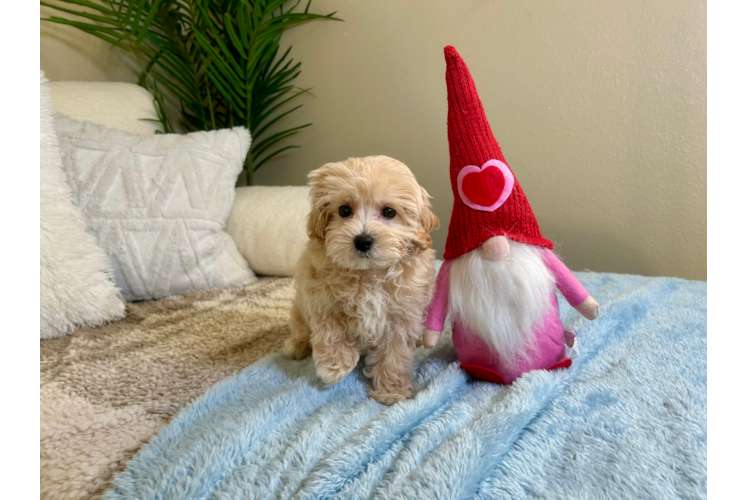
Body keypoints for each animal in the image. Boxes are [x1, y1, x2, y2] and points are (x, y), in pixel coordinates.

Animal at [284, 154, 438, 404]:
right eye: (344, 210)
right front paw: (334, 366)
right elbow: (330, 328)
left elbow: (395, 354)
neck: (368, 273)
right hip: (299, 310)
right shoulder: (320, 297)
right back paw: (296, 346)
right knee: (301, 329)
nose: (363, 240)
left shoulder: (400, 316)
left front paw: (391, 391)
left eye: (389, 212)